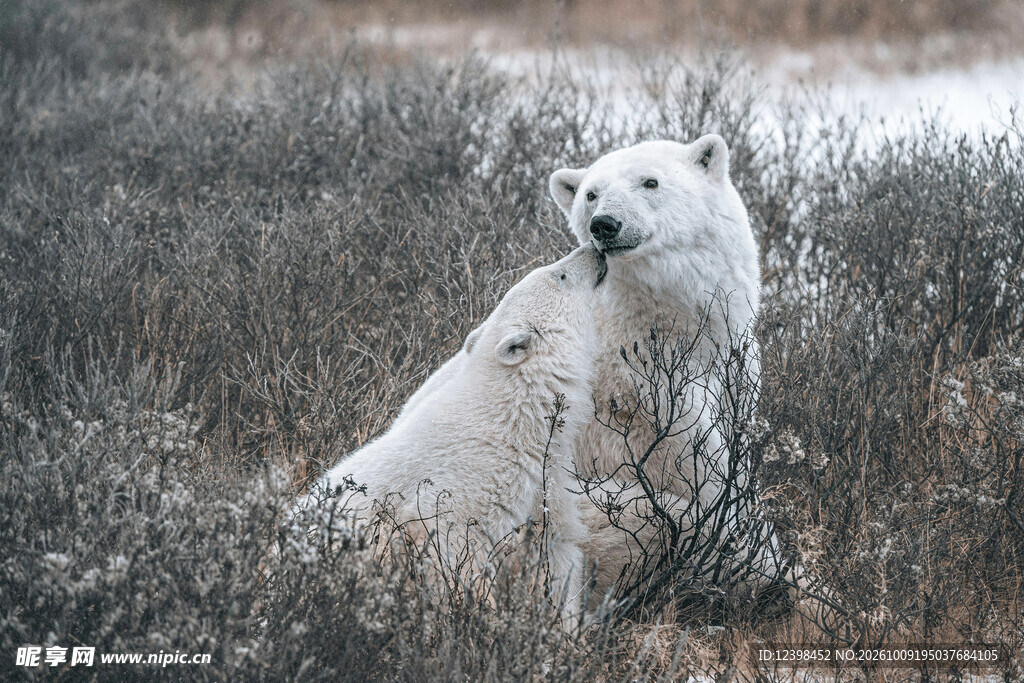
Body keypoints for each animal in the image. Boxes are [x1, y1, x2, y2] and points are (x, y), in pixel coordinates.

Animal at [305, 243, 607, 624]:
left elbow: (555, 548)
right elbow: (455, 554)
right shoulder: (460, 494)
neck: (513, 418)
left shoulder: (545, 479)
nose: (594, 248)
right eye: (561, 275)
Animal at [548, 135, 786, 606]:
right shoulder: (646, 402)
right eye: (591, 194)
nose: (605, 224)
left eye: (650, 182)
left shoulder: (734, 366)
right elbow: (706, 479)